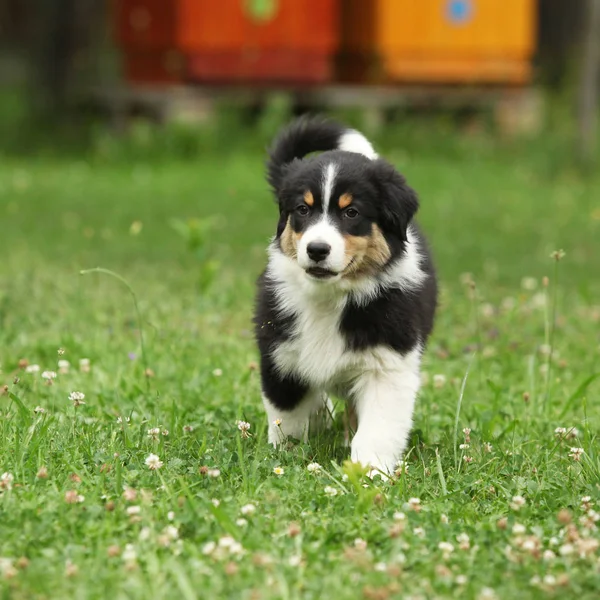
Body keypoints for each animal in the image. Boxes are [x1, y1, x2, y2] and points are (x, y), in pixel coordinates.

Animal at [252, 116, 436, 474]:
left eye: (351, 213)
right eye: (302, 210)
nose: (317, 249)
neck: (332, 296)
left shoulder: (388, 364)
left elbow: (377, 428)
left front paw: (369, 472)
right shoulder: (279, 354)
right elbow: (287, 416)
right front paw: (285, 458)